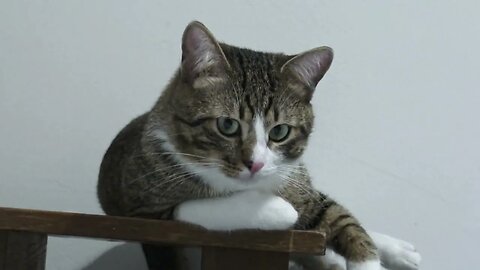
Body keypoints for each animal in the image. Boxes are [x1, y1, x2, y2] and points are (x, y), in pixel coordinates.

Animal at [97, 21, 420, 270]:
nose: (255, 163)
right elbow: (207, 207)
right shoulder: (144, 207)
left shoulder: (299, 184)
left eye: (280, 131)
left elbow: (342, 218)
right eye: (227, 126)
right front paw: (279, 211)